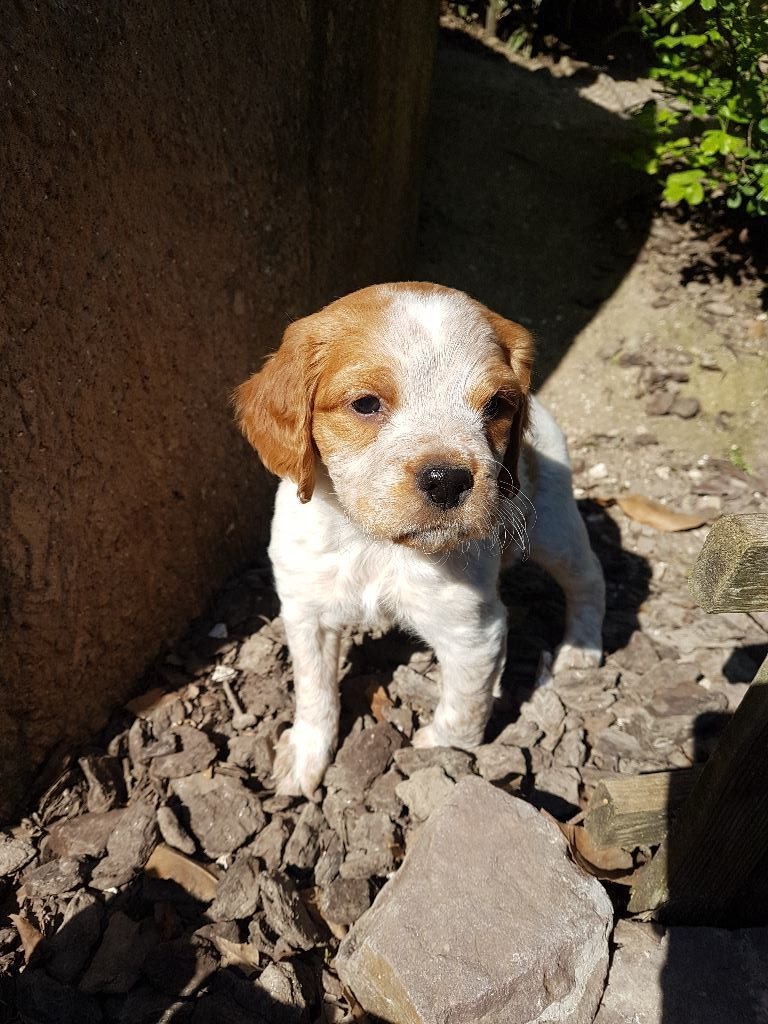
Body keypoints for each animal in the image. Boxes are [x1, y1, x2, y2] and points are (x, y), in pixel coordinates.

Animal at [234, 282, 606, 798]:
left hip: (553, 529)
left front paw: (441, 753)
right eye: (366, 403)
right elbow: (315, 692)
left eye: (496, 405)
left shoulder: (471, 631)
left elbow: (465, 705)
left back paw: (582, 648)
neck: (374, 544)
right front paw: (306, 754)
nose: (447, 480)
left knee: (590, 578)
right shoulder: (307, 612)